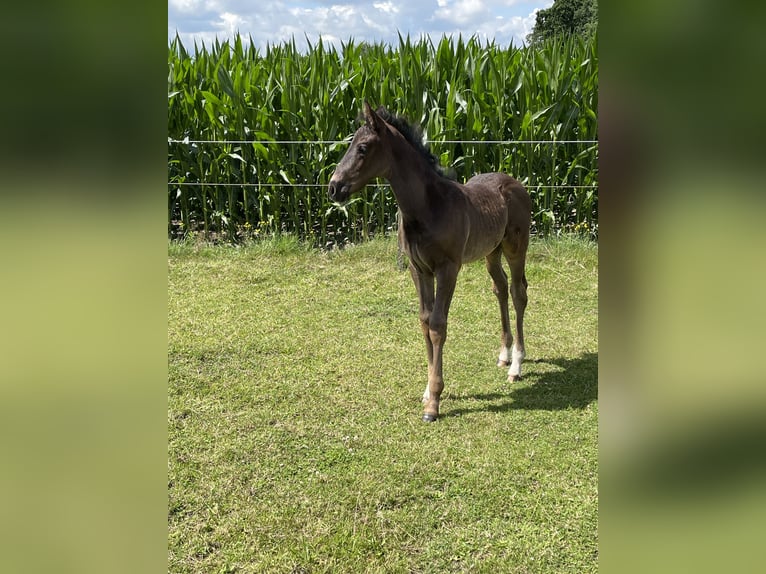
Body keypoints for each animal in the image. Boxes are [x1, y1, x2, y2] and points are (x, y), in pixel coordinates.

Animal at [330, 103, 536, 420]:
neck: (427, 207)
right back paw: (504, 354)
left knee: (517, 292)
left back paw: (516, 365)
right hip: (491, 251)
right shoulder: (419, 270)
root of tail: (514, 183)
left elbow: (439, 324)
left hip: (516, 248)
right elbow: (425, 321)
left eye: (362, 148)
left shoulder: (448, 268)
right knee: (499, 288)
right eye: (350, 144)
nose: (334, 187)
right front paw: (428, 391)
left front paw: (434, 403)